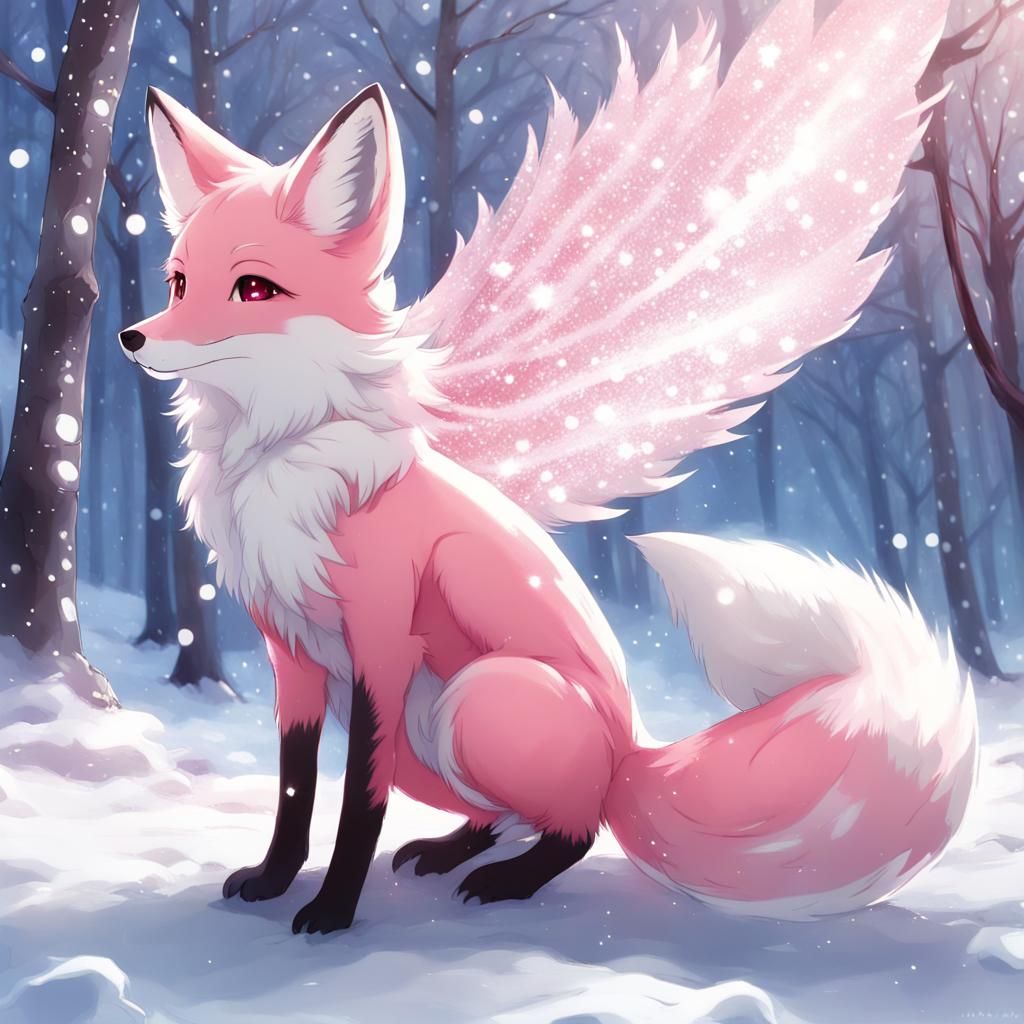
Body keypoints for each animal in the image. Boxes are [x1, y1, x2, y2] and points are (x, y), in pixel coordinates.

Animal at [121, 0, 976, 936]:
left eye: (253, 290)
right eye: (177, 281)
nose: (130, 338)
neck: (279, 459)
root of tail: (628, 756)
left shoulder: (381, 643)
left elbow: (355, 806)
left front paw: (333, 911)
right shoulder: (295, 661)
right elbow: (295, 787)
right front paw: (274, 882)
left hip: (473, 699)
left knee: (577, 830)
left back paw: (505, 879)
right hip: (432, 726)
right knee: (501, 813)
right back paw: (451, 851)